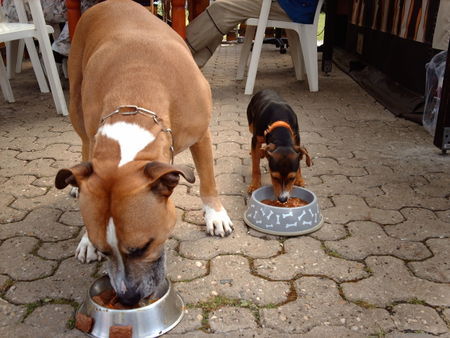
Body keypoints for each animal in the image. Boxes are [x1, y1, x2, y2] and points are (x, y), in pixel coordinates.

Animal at [54, 0, 234, 306]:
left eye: (142, 247)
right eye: (105, 250)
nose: (127, 299)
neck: (136, 92)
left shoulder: (201, 134)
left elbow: (208, 180)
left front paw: (215, 215)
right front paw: (87, 241)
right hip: (76, 105)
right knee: (84, 144)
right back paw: (76, 181)